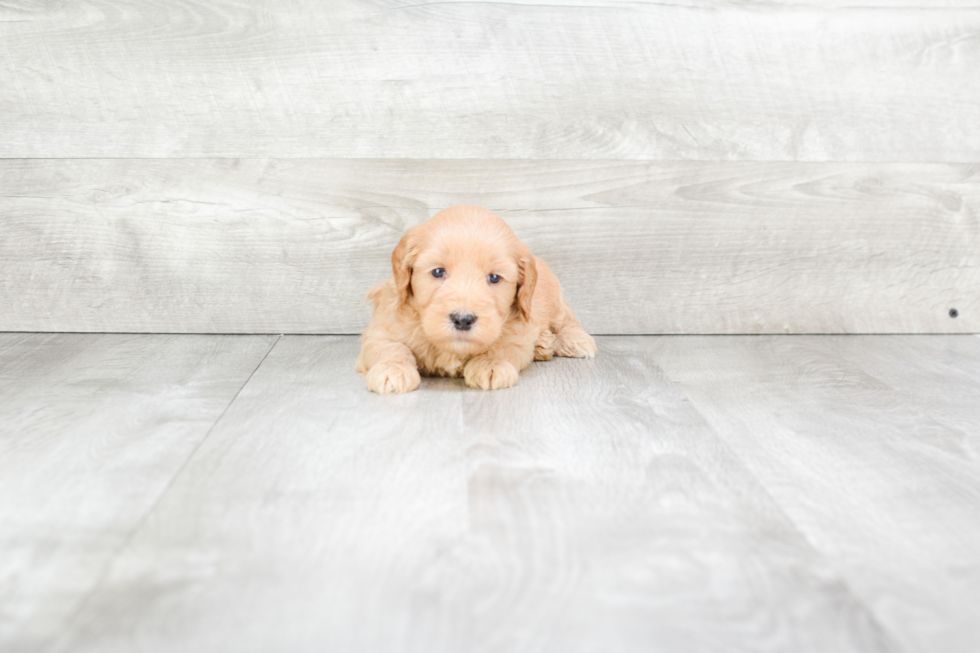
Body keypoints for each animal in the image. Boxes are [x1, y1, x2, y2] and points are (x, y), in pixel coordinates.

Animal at [354, 204, 592, 392]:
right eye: (438, 272)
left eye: (494, 277)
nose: (463, 320)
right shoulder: (382, 325)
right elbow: (389, 347)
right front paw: (392, 370)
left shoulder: (519, 334)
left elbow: (503, 347)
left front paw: (490, 364)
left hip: (552, 297)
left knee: (566, 319)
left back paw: (574, 341)